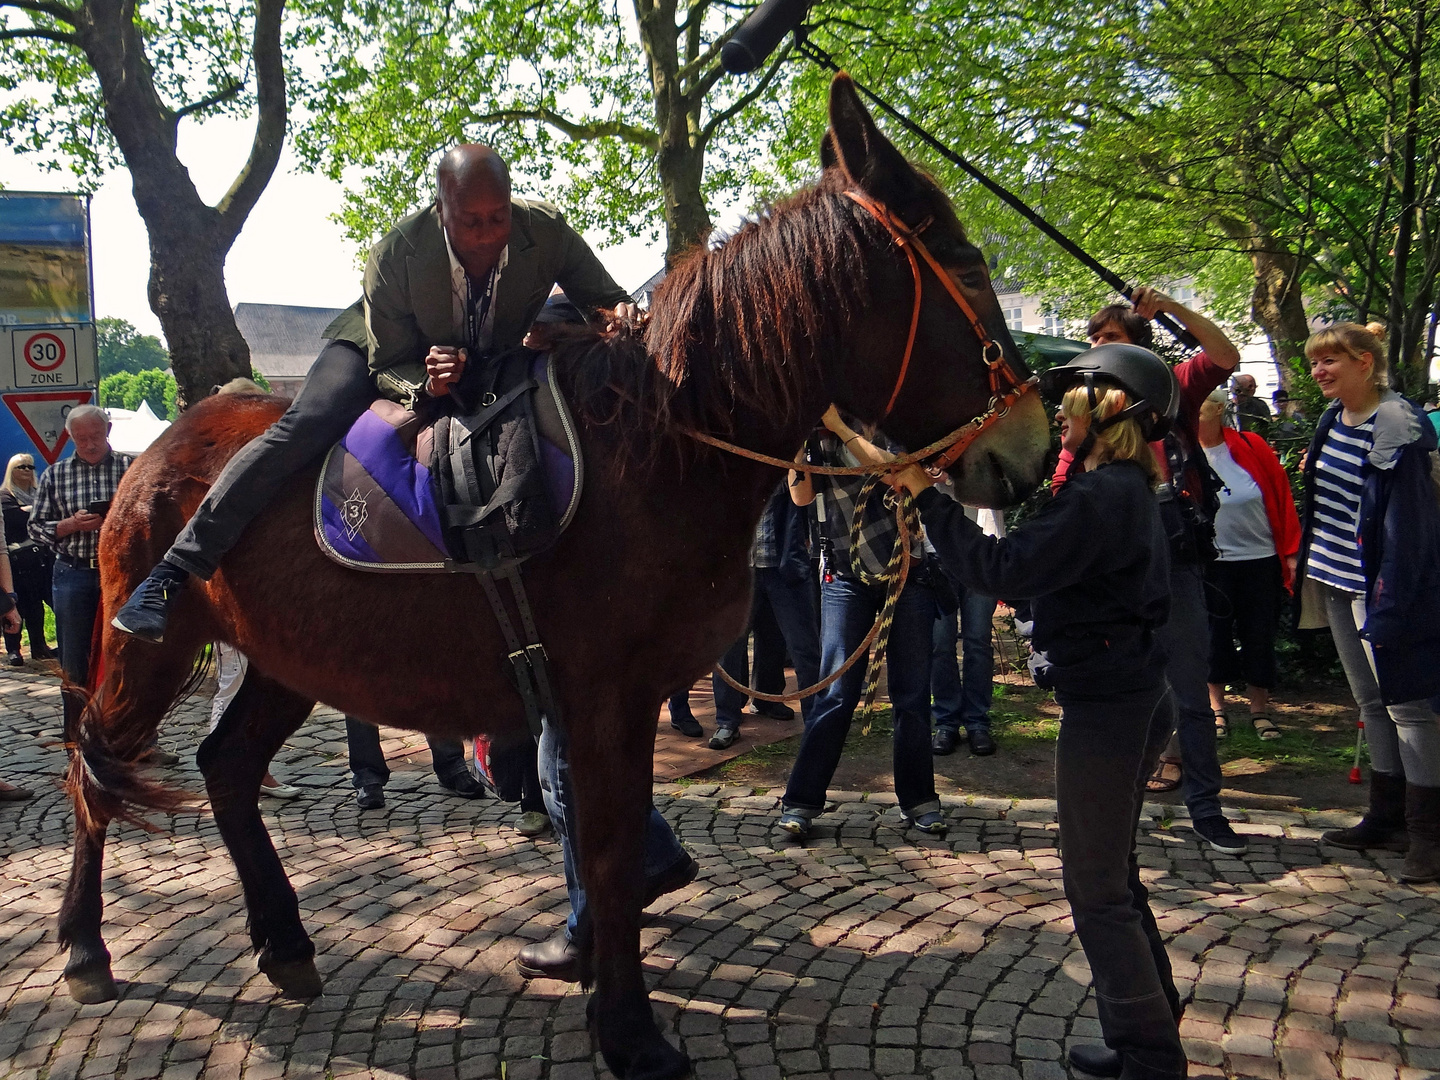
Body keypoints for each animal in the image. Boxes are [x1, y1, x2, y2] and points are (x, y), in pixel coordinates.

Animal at [59, 78, 1048, 1080]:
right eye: (968, 270)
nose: (1033, 447)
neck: (659, 444)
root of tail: (162, 450)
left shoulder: (606, 699)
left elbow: (608, 847)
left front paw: (598, 976)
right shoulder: (606, 696)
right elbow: (607, 855)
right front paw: (630, 1030)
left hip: (283, 661)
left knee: (225, 769)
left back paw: (285, 941)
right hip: (149, 650)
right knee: (89, 762)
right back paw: (86, 947)